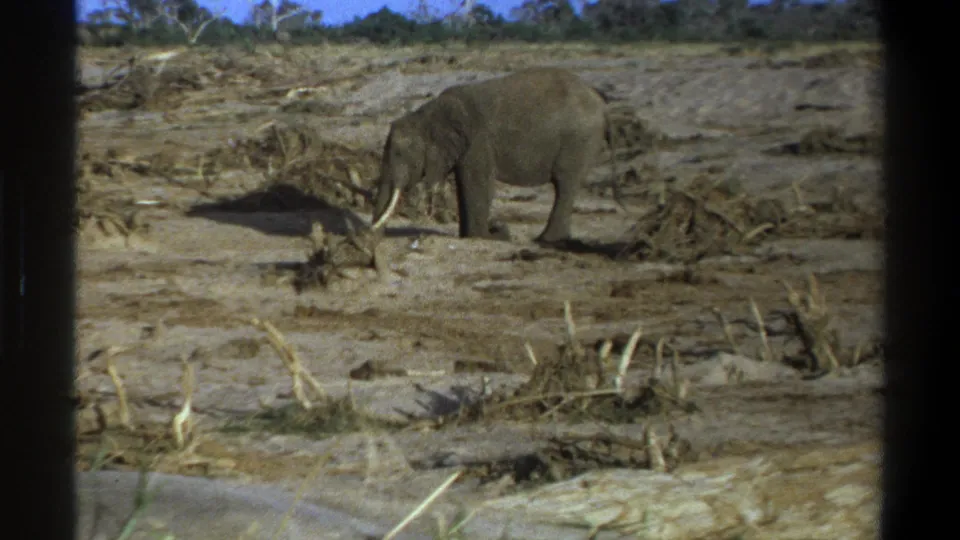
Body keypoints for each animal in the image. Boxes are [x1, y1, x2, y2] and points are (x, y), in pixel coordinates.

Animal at [368, 67, 611, 244]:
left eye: (399, 153)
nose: (375, 239)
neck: (426, 114)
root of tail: (599, 100)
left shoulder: (478, 141)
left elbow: (478, 184)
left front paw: (487, 236)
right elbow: (465, 185)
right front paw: (476, 235)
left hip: (579, 140)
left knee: (565, 184)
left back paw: (546, 240)